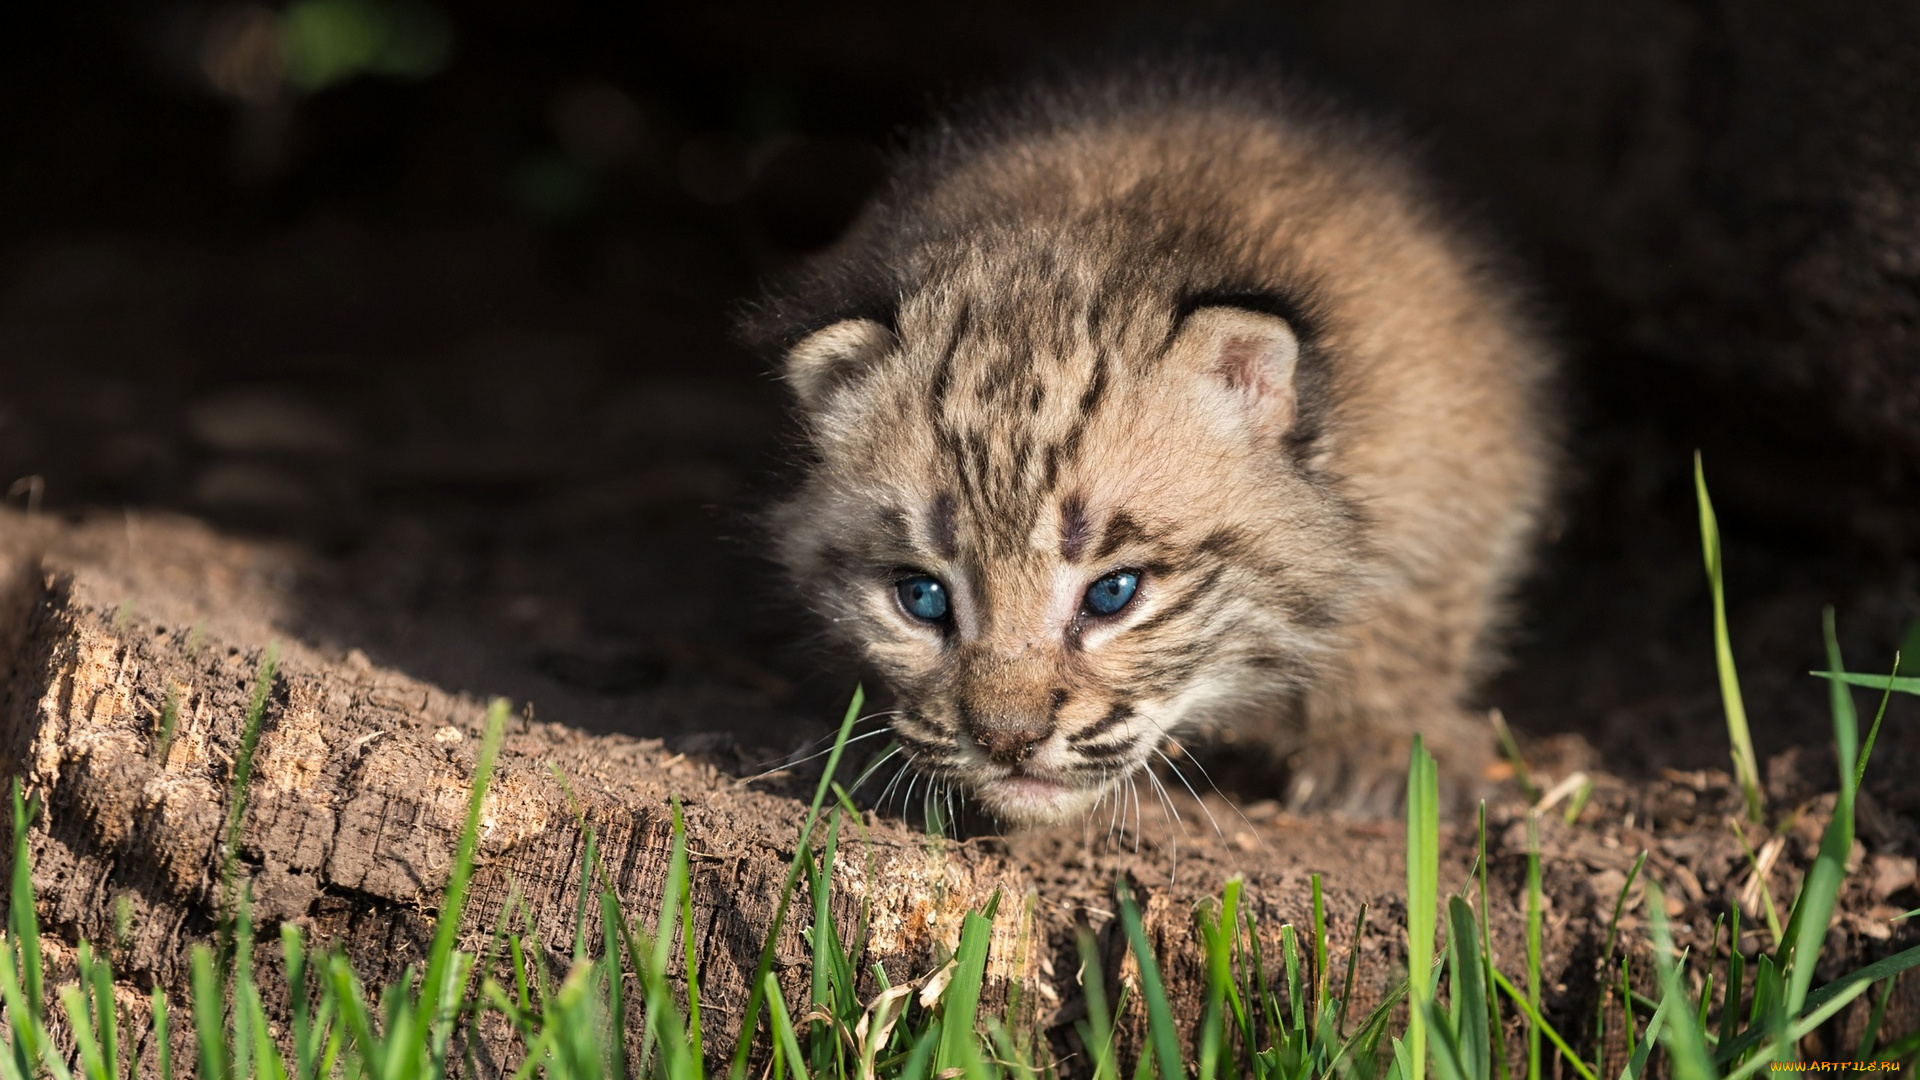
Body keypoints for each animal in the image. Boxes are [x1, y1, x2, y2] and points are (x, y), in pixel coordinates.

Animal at [748, 71, 1559, 818]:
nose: (1007, 741)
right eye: (920, 597)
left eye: (1114, 593)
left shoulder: (1465, 445)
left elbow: (1419, 600)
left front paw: (1383, 745)